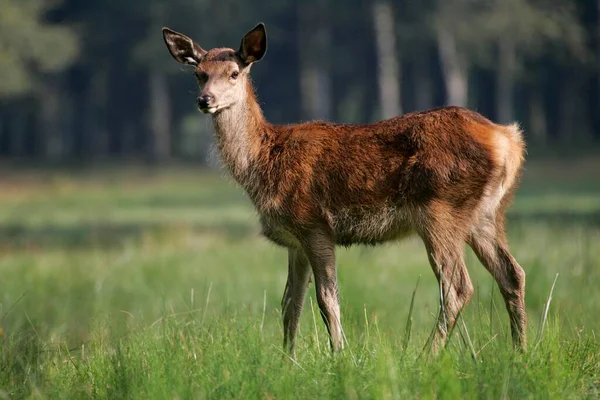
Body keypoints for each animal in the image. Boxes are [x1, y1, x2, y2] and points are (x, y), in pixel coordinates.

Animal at [162, 22, 528, 356]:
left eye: (234, 73)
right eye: (199, 74)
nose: (205, 100)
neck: (265, 163)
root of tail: (508, 140)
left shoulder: (314, 224)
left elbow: (327, 299)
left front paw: (340, 356)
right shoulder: (295, 241)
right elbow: (290, 304)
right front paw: (287, 361)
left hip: (441, 208)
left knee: (458, 287)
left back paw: (426, 356)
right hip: (486, 214)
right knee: (513, 273)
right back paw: (519, 352)